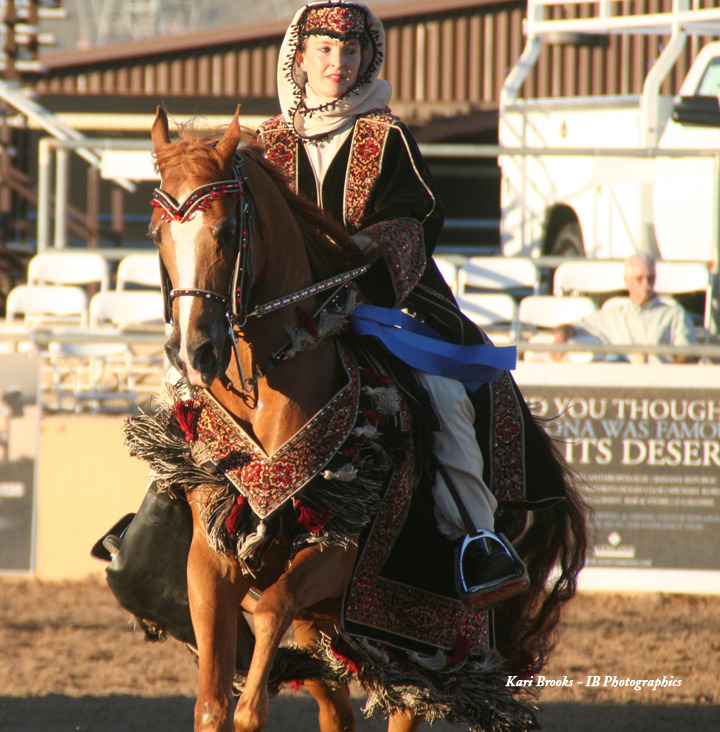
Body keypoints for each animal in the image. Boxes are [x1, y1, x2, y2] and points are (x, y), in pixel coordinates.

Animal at [127, 106, 587, 732]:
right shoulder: (210, 562)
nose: (195, 351)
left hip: (420, 635)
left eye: (223, 232)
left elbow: (265, 629)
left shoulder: (342, 553)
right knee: (334, 703)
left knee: (407, 701)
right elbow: (212, 705)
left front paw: (253, 704)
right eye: (157, 234)